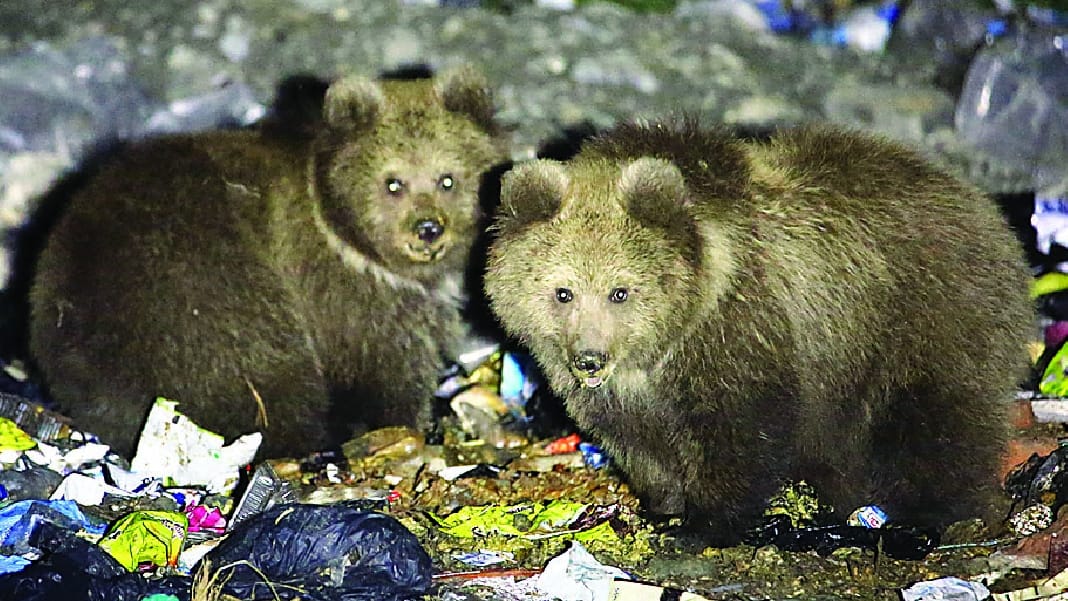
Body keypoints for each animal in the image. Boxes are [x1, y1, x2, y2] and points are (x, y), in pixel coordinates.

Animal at [29, 65, 507, 459]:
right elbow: (385, 363)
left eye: (448, 178)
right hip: (200, 284)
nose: (428, 229)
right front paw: (405, 417)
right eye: (393, 182)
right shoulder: (341, 290)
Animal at [484, 118, 1034, 544]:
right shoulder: (619, 395)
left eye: (621, 291)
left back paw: (942, 514)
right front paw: (664, 507)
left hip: (924, 320)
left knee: (940, 420)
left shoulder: (743, 333)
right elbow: (639, 444)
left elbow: (742, 430)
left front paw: (704, 522)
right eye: (563, 292)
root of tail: (988, 213)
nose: (590, 359)